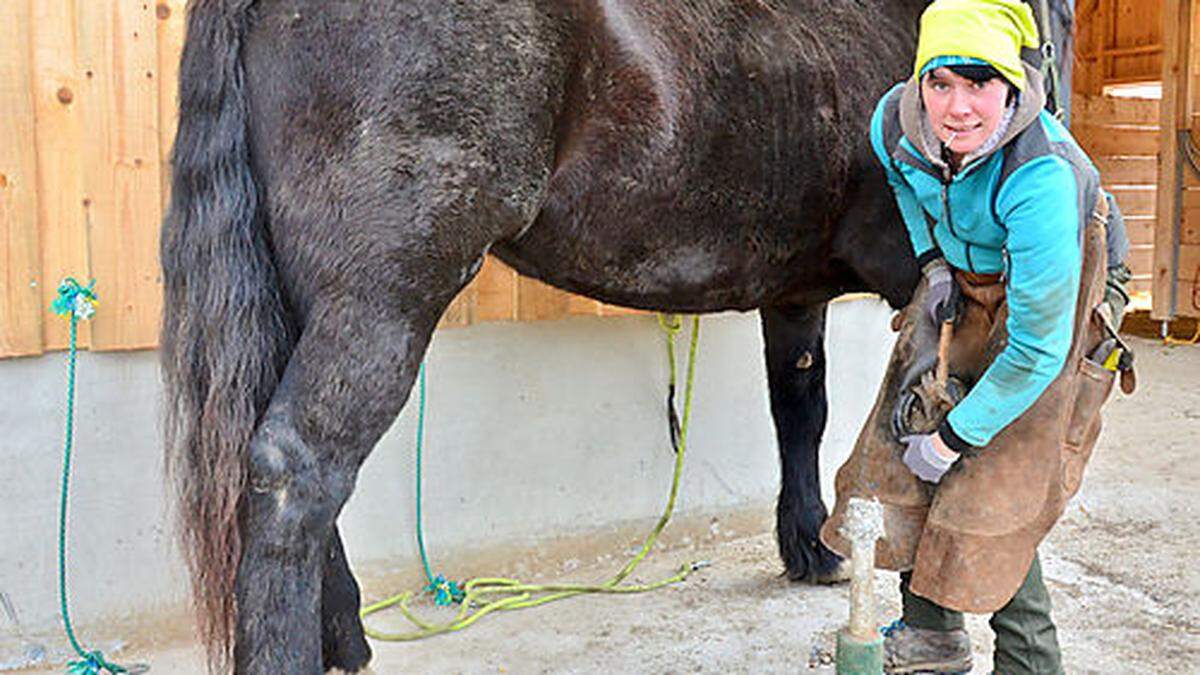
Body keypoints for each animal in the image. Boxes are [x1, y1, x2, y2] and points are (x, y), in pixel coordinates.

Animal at [162, 0, 1080, 667]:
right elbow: (951, 420)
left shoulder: (795, 294)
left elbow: (803, 409)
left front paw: (809, 547)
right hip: (382, 295)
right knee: (297, 468)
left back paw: (345, 636)